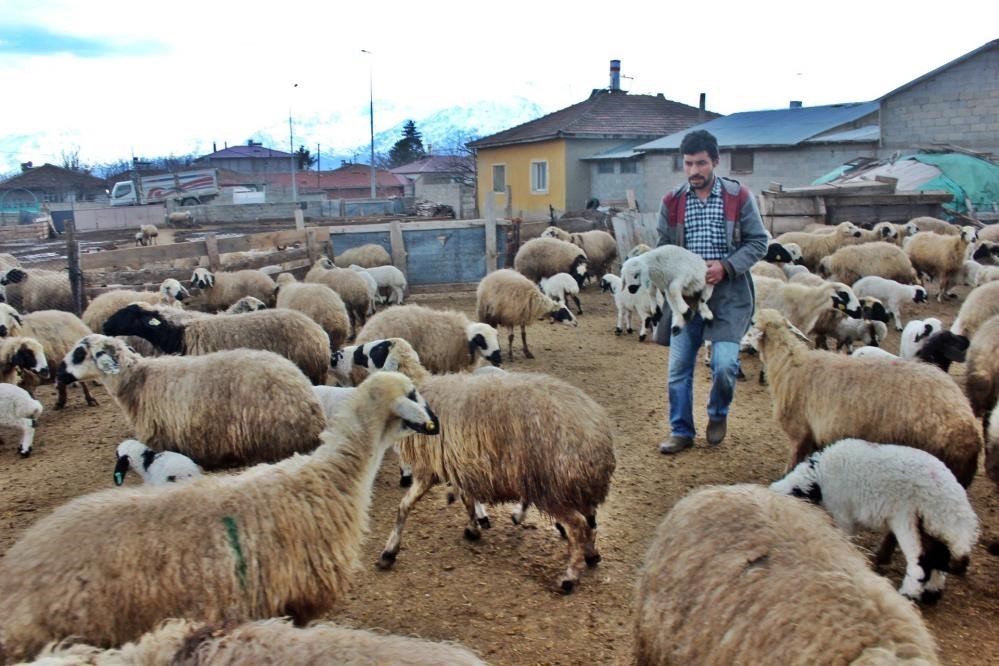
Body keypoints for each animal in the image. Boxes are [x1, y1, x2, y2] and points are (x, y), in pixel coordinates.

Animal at [768, 436, 980, 600]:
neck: (817, 477)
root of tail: (951, 494)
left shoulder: (842, 511)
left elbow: (844, 537)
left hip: (907, 517)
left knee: (921, 560)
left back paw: (909, 594)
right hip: (932, 523)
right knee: (939, 554)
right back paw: (932, 594)